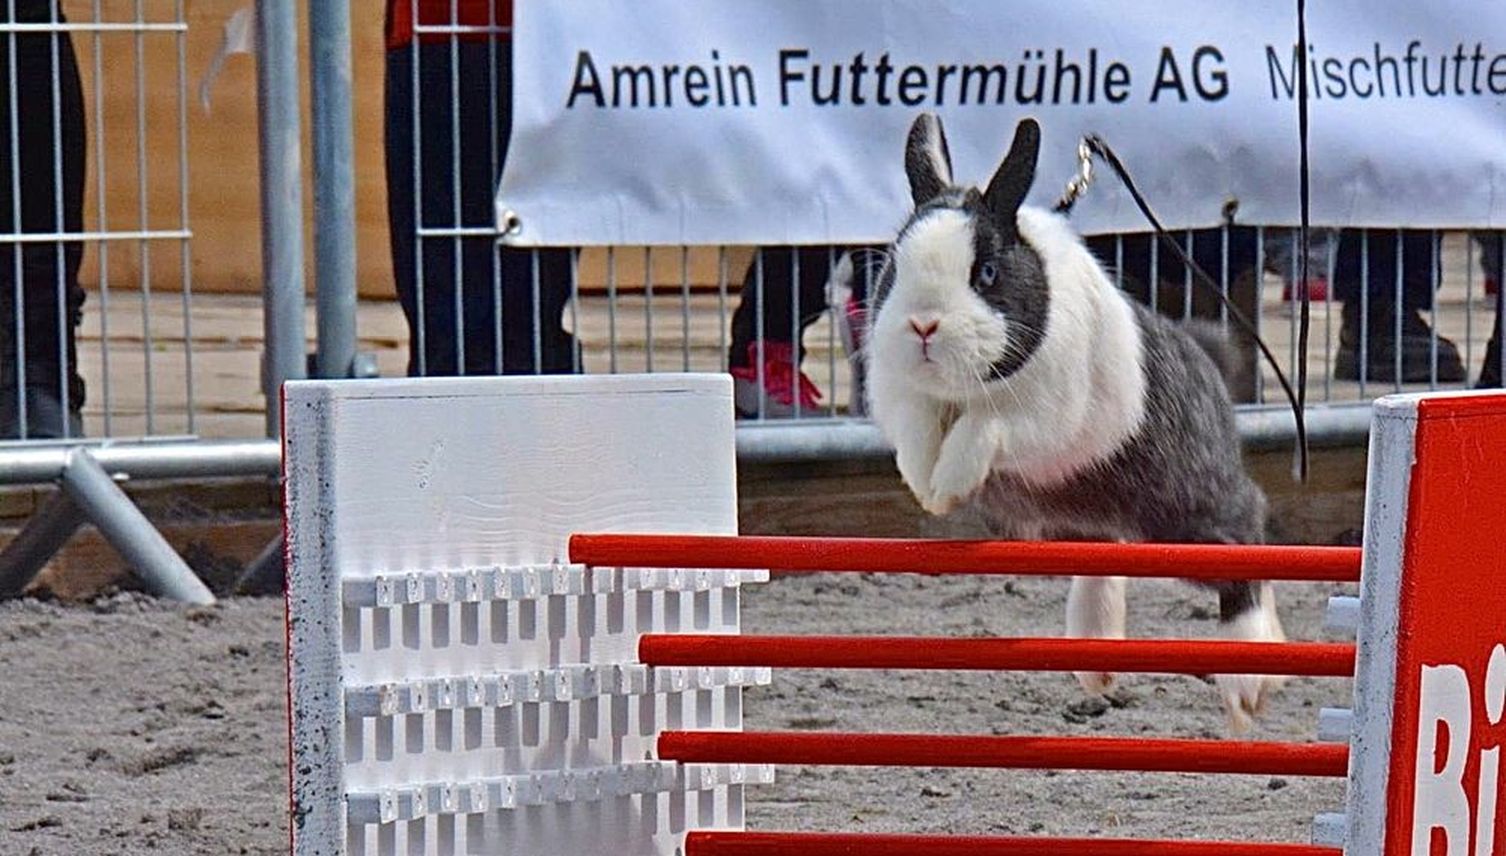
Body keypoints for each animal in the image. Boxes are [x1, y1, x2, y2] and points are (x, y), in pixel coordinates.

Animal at [873, 112, 1283, 729]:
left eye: (986, 272)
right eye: (895, 265)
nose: (923, 324)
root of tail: (1208, 359)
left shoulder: (1040, 418)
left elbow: (984, 429)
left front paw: (949, 486)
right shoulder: (909, 402)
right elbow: (919, 436)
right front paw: (929, 487)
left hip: (1185, 519)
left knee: (1247, 540)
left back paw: (1249, 680)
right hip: (1088, 523)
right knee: (1101, 562)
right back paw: (1098, 666)